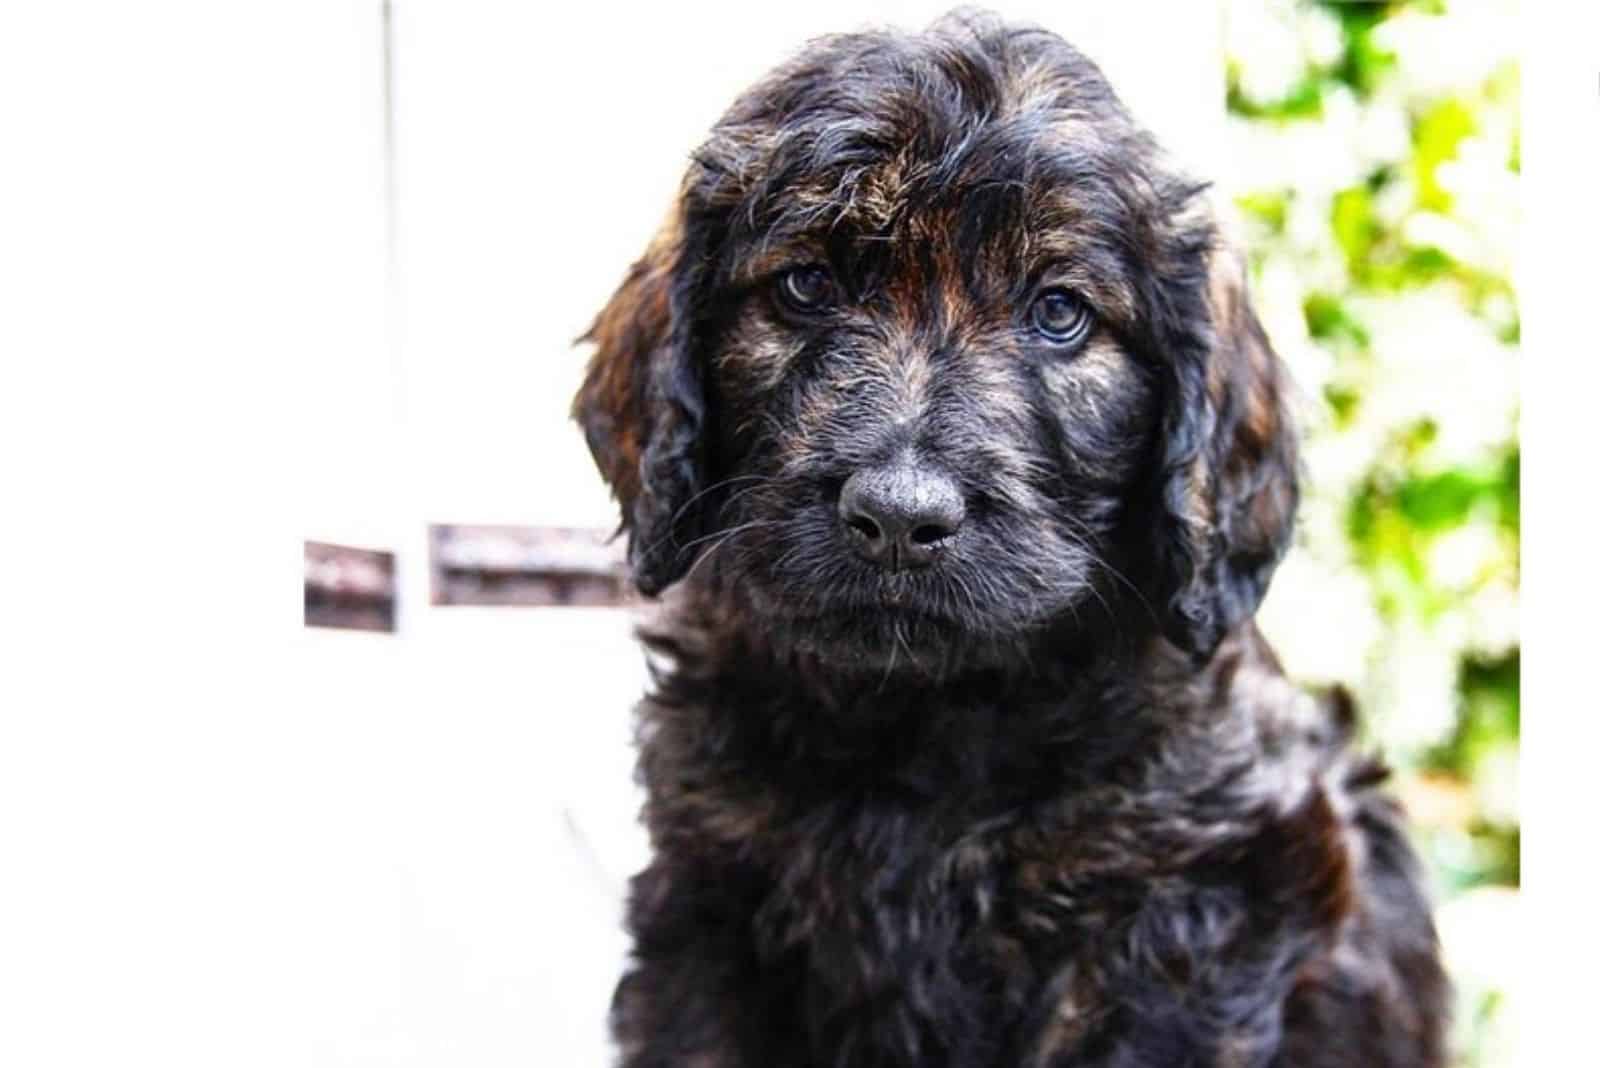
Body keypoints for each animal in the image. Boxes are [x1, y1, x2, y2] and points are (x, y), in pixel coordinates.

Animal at [576, 10, 1452, 1068]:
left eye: (1059, 312)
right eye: (807, 286)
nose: (900, 516)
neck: (925, 714)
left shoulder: (1198, 902)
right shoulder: (709, 904)